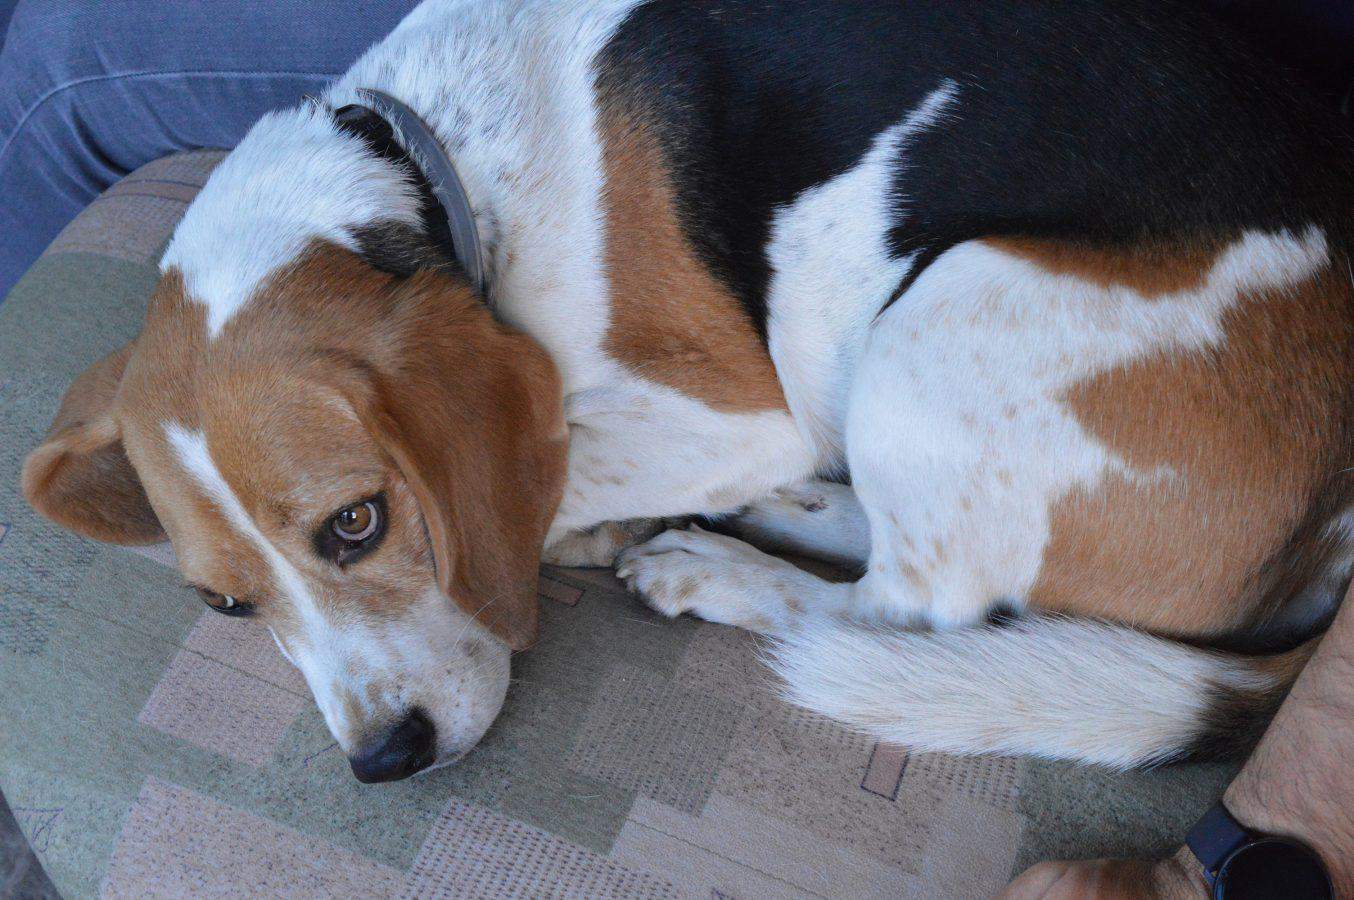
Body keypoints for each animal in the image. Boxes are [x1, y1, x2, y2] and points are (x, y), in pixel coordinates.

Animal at [22, 0, 1354, 782]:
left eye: (358, 523)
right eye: (223, 607)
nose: (384, 761)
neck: (423, 161)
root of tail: (1331, 521)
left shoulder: (729, 409)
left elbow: (548, 480)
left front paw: (569, 530)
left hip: (947, 307)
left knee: (896, 609)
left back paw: (712, 567)